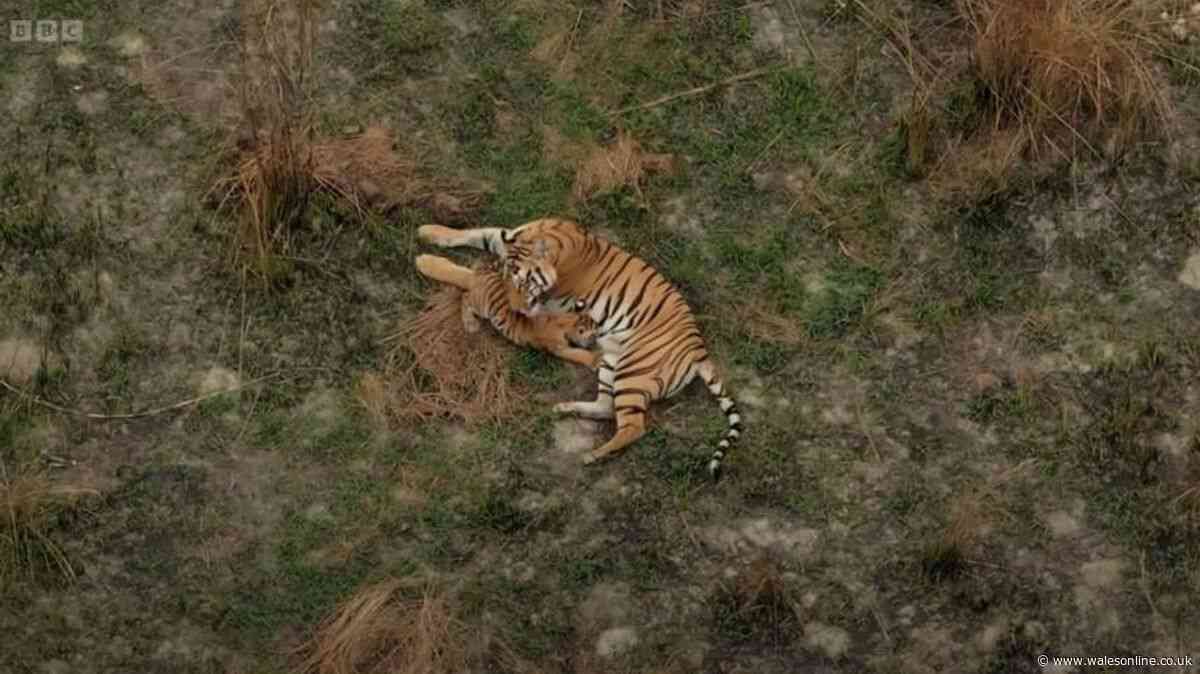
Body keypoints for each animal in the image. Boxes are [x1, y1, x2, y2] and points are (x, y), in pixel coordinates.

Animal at [414, 254, 601, 370]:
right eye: (593, 334)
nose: (594, 342)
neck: (568, 322)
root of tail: (478, 277)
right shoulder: (558, 348)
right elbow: (577, 354)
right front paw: (595, 359)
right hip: (481, 306)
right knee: (465, 297)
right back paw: (471, 323)